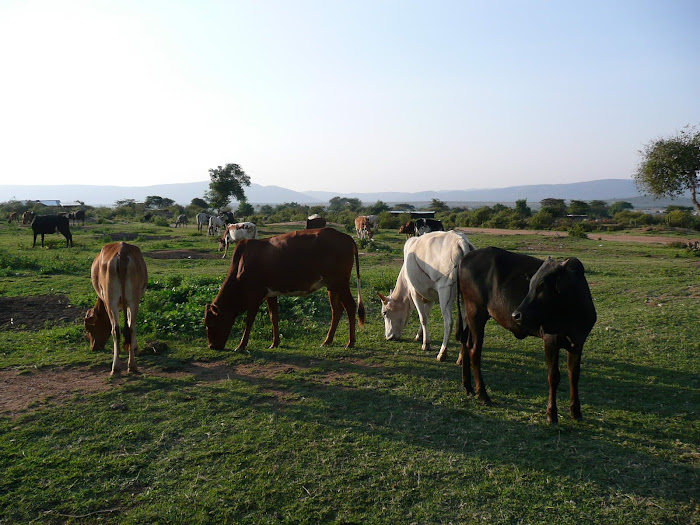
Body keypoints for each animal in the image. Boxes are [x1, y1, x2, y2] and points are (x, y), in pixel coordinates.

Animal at [85, 244, 150, 374]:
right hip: (133, 300)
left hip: (111, 301)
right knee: (130, 328)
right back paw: (131, 366)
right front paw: (133, 347)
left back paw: (116, 367)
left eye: (88, 328)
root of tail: (122, 251)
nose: (93, 348)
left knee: (116, 330)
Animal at [204, 227, 364, 350]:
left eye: (210, 324)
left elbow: (249, 321)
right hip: (332, 286)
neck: (241, 263)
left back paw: (350, 342)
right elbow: (273, 317)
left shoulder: (255, 295)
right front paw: (275, 343)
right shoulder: (270, 294)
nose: (212, 346)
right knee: (336, 310)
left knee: (350, 306)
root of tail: (347, 238)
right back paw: (328, 340)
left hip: (340, 283)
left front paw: (241, 346)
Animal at [378, 231, 476, 362]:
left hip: (445, 292)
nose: (388, 337)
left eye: (385, 313)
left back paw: (442, 353)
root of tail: (461, 241)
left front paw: (426, 344)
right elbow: (426, 315)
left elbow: (423, 318)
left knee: (448, 322)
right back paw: (461, 357)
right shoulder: (430, 297)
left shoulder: (415, 293)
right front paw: (419, 336)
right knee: (466, 321)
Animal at [456, 246, 600, 422]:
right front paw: (551, 413)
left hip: (469, 316)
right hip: (476, 313)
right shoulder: (551, 340)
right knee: (474, 350)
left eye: (542, 285)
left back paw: (468, 386)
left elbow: (574, 374)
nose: (516, 315)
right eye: (531, 284)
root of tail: (466, 257)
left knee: (465, 342)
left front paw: (576, 411)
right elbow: (554, 376)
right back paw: (483, 395)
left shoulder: (578, 343)